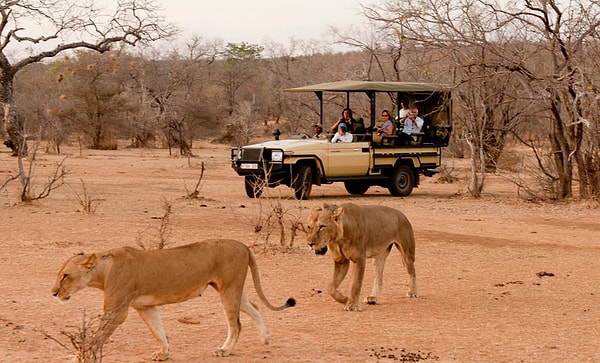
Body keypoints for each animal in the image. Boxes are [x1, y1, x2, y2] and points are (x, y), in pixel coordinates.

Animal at [51, 239, 296, 362]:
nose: (53, 293)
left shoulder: (117, 311)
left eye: (65, 276)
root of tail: (244, 245)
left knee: (236, 324)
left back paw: (224, 350)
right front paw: (163, 354)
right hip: (232, 289)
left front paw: (81, 355)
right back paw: (266, 339)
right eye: (59, 274)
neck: (102, 270)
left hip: (229, 289)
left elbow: (98, 336)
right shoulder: (145, 307)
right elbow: (158, 331)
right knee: (254, 307)